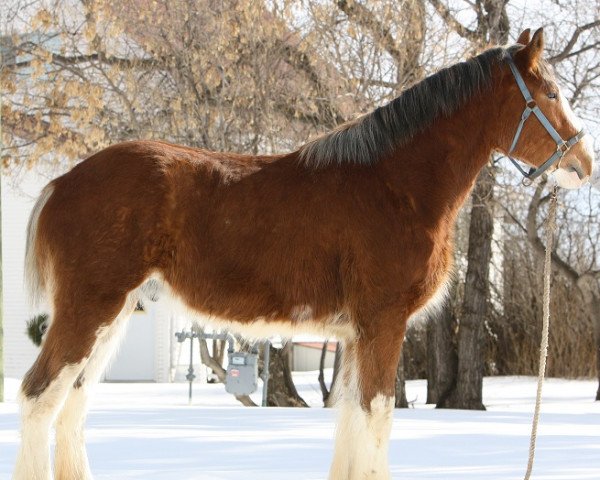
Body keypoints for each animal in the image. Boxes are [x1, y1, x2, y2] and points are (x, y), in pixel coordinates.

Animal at [12, 28, 596, 478]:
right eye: (549, 93)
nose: (584, 164)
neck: (393, 184)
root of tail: (63, 182)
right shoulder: (383, 322)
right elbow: (378, 416)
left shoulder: (356, 334)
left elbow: (352, 420)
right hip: (90, 308)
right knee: (39, 397)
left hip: (112, 315)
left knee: (73, 403)